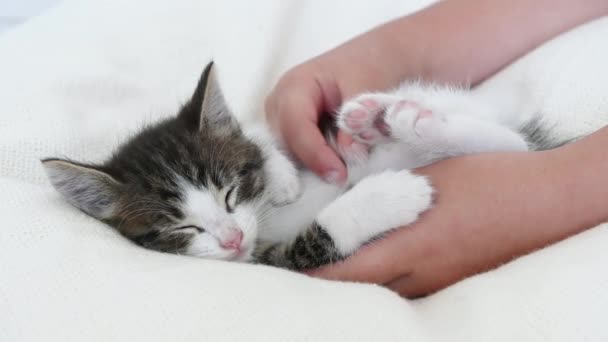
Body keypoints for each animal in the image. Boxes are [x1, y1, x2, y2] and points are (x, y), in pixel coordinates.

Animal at [41, 61, 528, 270]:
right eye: (181, 228)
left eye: (229, 193)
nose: (232, 238)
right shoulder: (268, 262)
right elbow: (315, 240)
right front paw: (388, 197)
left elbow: (262, 135)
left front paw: (280, 176)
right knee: (513, 148)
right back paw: (402, 124)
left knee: (513, 143)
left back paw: (383, 118)